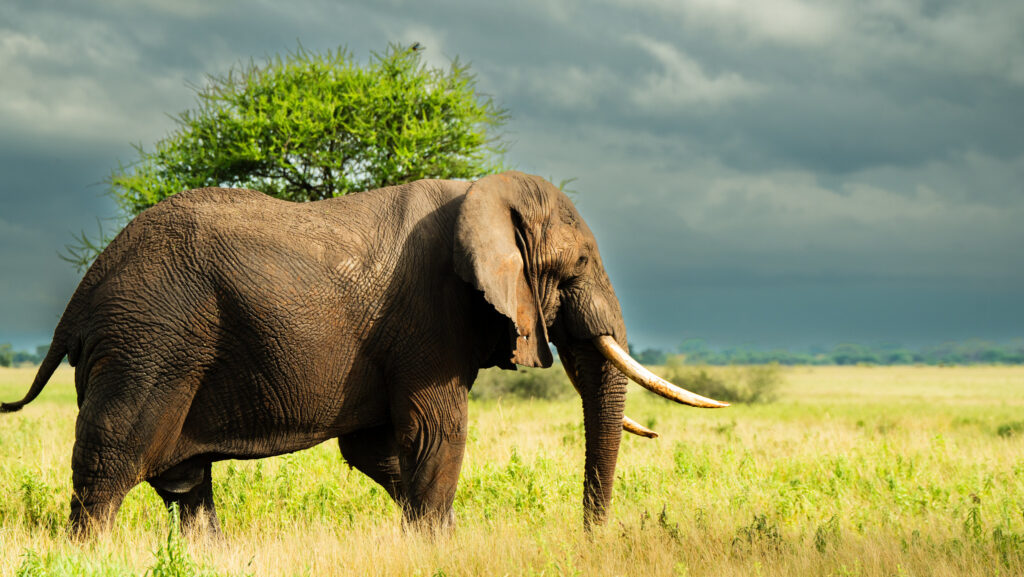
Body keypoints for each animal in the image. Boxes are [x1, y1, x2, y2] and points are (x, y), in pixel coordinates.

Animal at [0, 173, 724, 537]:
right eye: (576, 268)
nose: (590, 538)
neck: (485, 192)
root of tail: (83, 290)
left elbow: (380, 449)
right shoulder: (430, 315)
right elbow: (436, 429)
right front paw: (436, 546)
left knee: (183, 482)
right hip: (150, 339)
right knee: (112, 461)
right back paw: (87, 553)